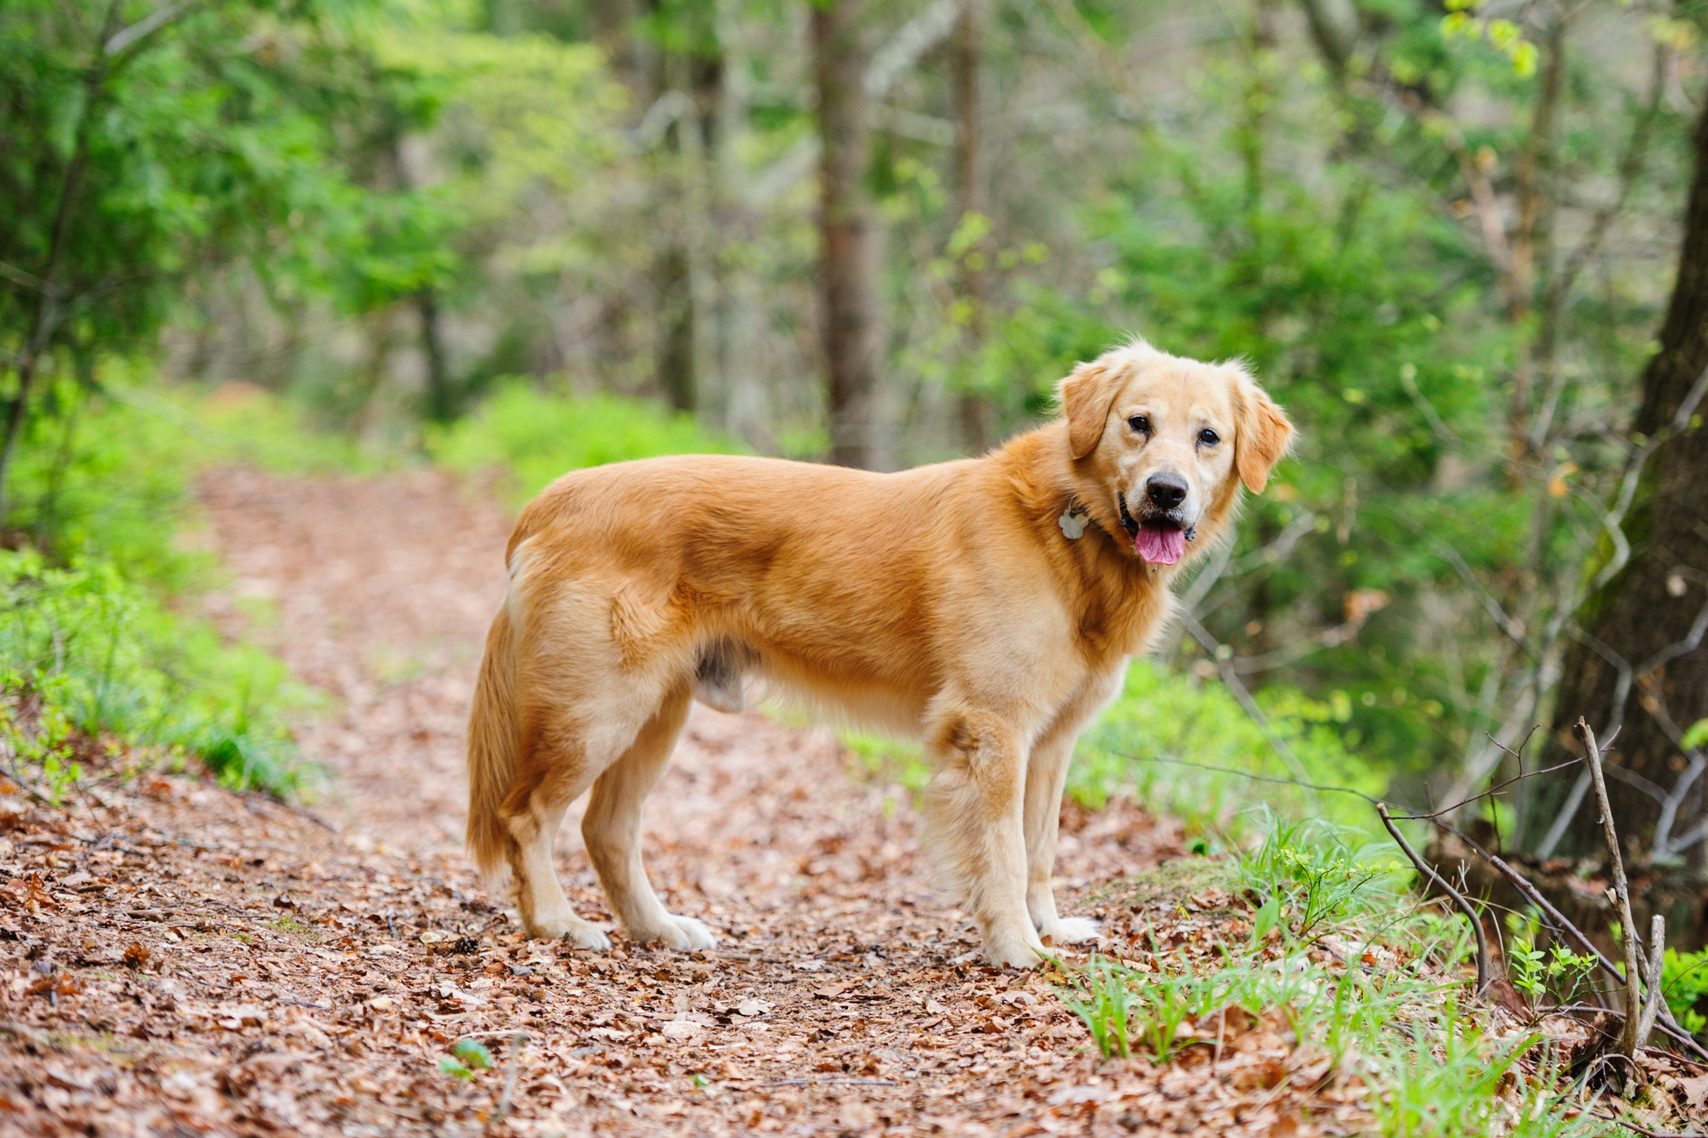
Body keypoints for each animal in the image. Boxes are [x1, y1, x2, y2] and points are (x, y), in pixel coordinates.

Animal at [461, 338, 1284, 963]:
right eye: (1138, 424)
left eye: (1208, 437)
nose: (1167, 492)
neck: (1068, 523)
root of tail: (551, 499)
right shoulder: (991, 730)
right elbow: (1005, 852)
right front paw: (1018, 948)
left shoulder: (1051, 742)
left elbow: (1042, 847)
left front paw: (1048, 926)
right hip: (595, 712)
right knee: (525, 818)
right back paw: (558, 924)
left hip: (656, 714)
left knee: (606, 831)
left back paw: (660, 929)